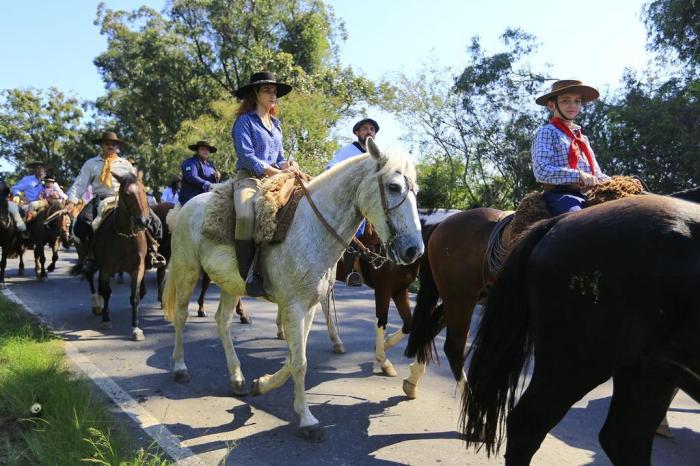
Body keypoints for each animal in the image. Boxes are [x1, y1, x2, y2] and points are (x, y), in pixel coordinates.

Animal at [163, 137, 424, 440]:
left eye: (416, 191)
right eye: (393, 187)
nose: (414, 249)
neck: (310, 229)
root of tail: (185, 207)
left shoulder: (307, 307)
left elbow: (294, 357)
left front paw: (262, 383)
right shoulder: (294, 306)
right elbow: (300, 362)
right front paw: (307, 420)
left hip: (229, 284)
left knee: (222, 322)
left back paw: (237, 378)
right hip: (187, 270)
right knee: (181, 316)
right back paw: (180, 368)